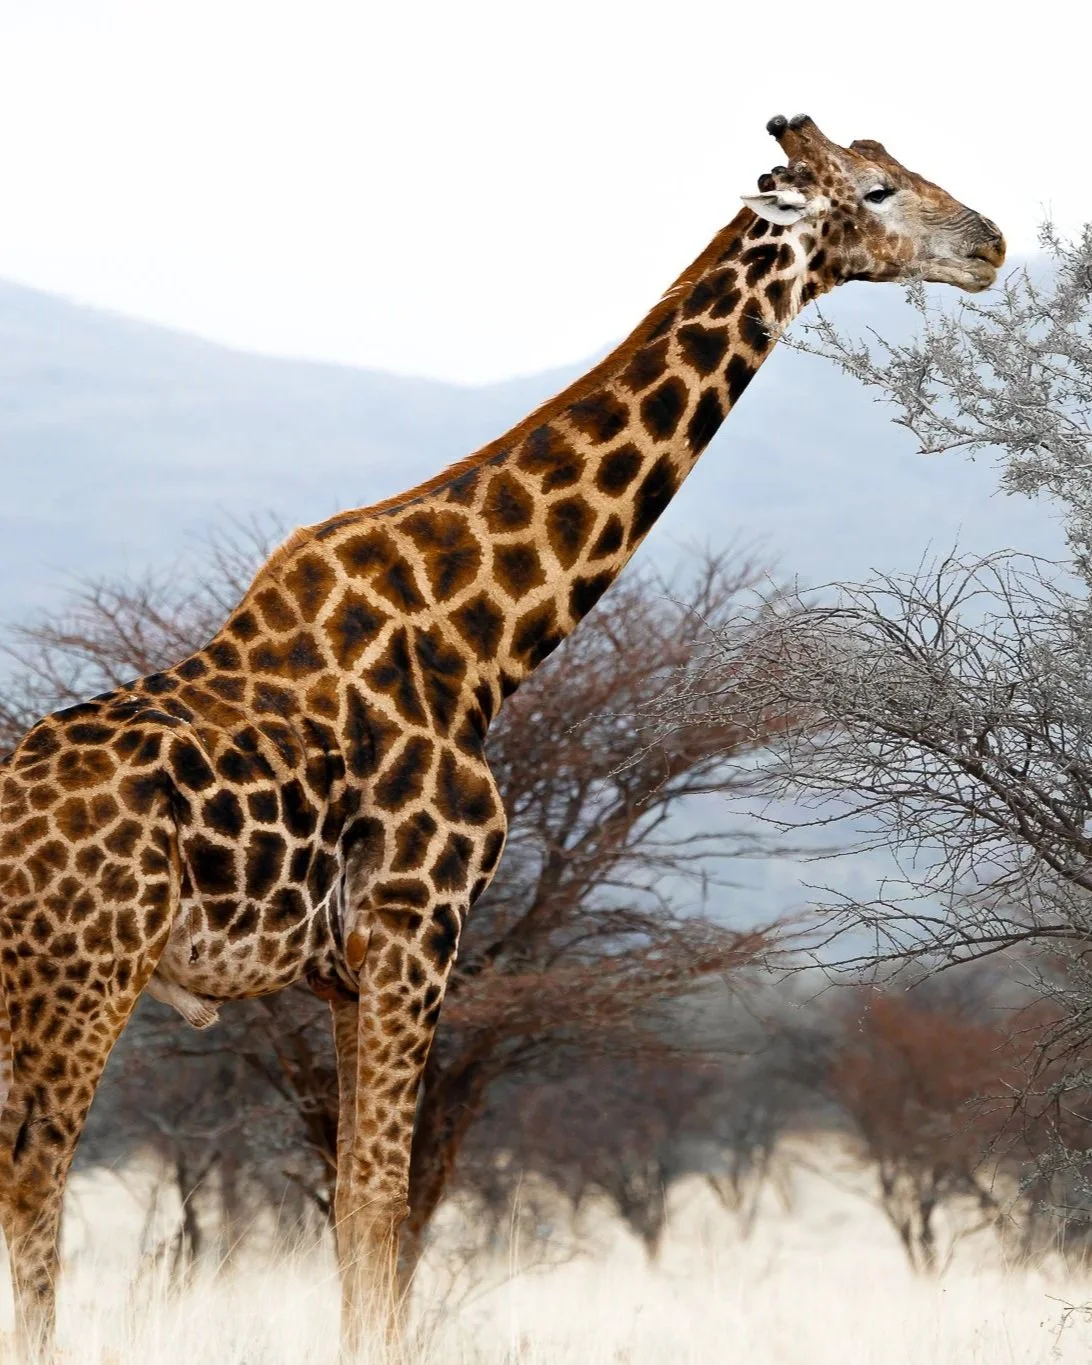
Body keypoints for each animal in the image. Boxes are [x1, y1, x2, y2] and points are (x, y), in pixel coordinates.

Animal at [0, 113, 1004, 1359]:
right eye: (876, 191)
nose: (990, 245)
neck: (480, 641)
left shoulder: (350, 973)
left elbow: (366, 1215)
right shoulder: (415, 928)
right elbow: (377, 1208)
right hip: (85, 969)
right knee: (36, 1177)